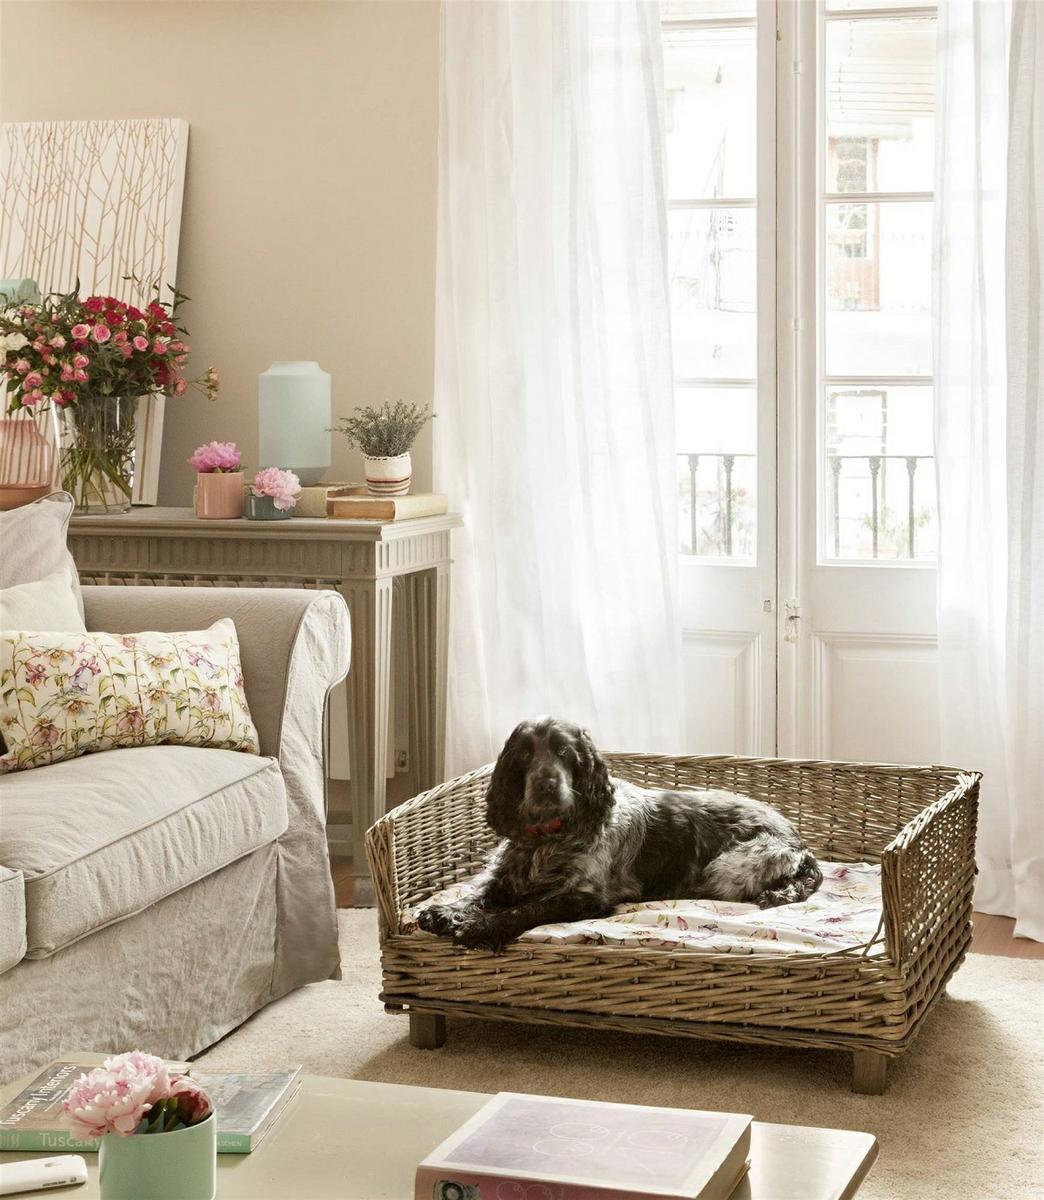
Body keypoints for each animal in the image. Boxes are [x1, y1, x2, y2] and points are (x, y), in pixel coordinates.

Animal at [418, 716, 823, 952]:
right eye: (524, 755)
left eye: (564, 752)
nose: (546, 784)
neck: (547, 838)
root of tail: (799, 842)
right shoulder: (506, 877)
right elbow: (480, 892)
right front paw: (445, 911)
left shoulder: (584, 897)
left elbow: (525, 909)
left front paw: (477, 926)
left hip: (728, 867)